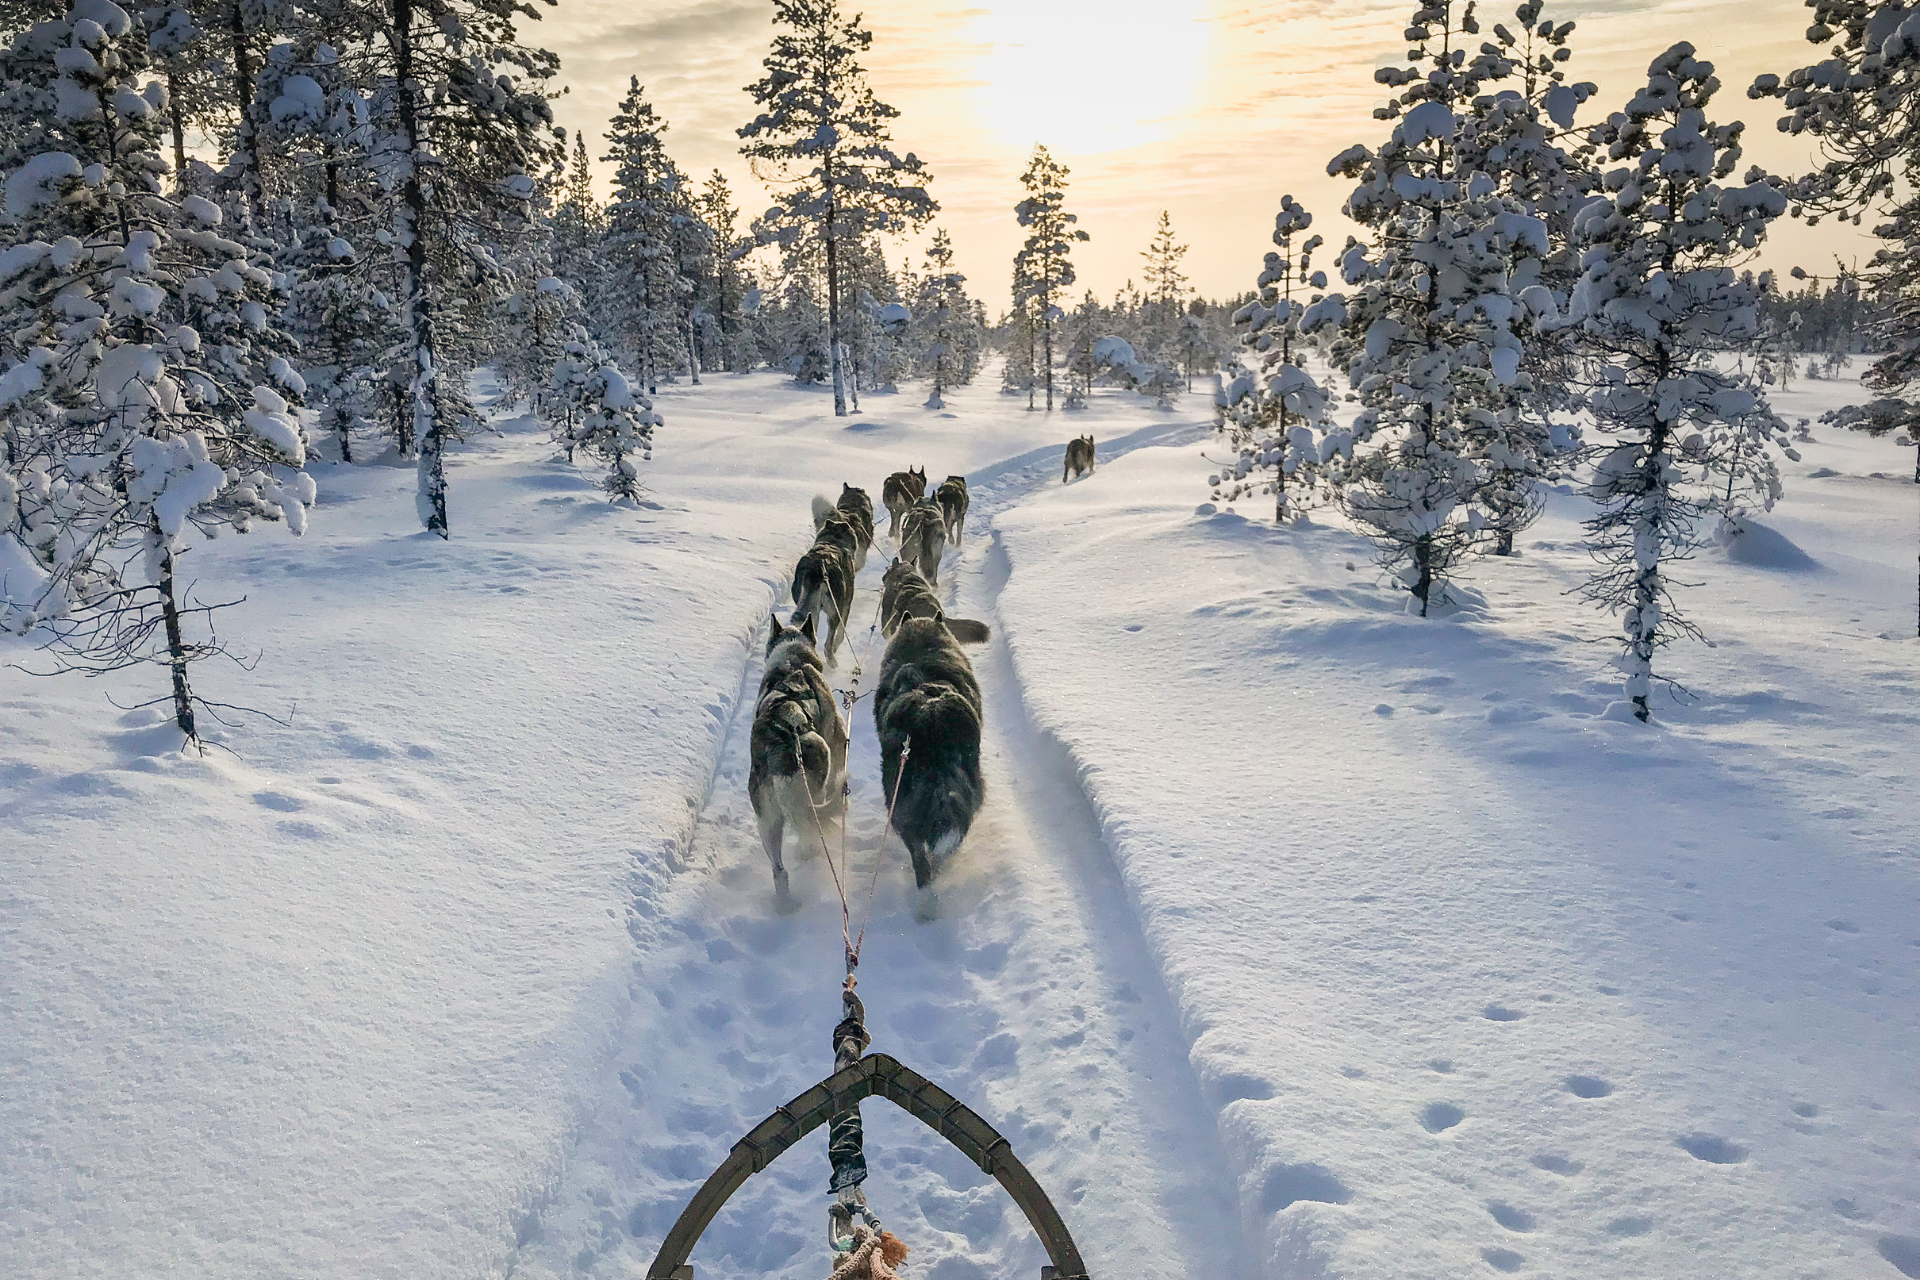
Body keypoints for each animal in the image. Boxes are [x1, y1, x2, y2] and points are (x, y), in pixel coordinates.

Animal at [748, 617, 848, 901]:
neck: (793, 662)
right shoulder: (838, 741)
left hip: (767, 821)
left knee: (779, 871)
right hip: (818, 765)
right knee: (812, 832)